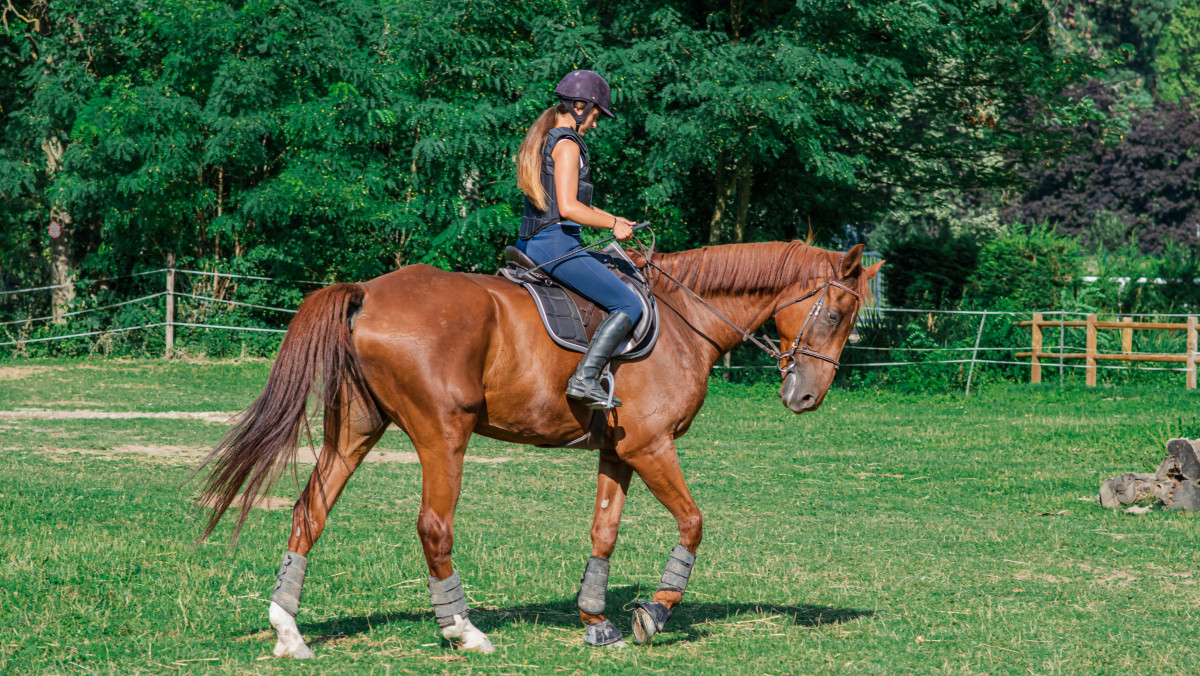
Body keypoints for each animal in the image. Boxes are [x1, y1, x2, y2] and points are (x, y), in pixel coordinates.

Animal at [198, 240, 882, 656]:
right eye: (835, 313)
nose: (806, 397)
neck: (684, 321)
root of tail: (368, 291)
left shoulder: (618, 453)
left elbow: (603, 533)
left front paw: (596, 622)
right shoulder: (652, 447)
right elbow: (693, 522)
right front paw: (654, 614)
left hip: (357, 430)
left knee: (310, 510)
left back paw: (289, 631)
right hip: (443, 435)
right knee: (434, 527)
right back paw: (463, 630)